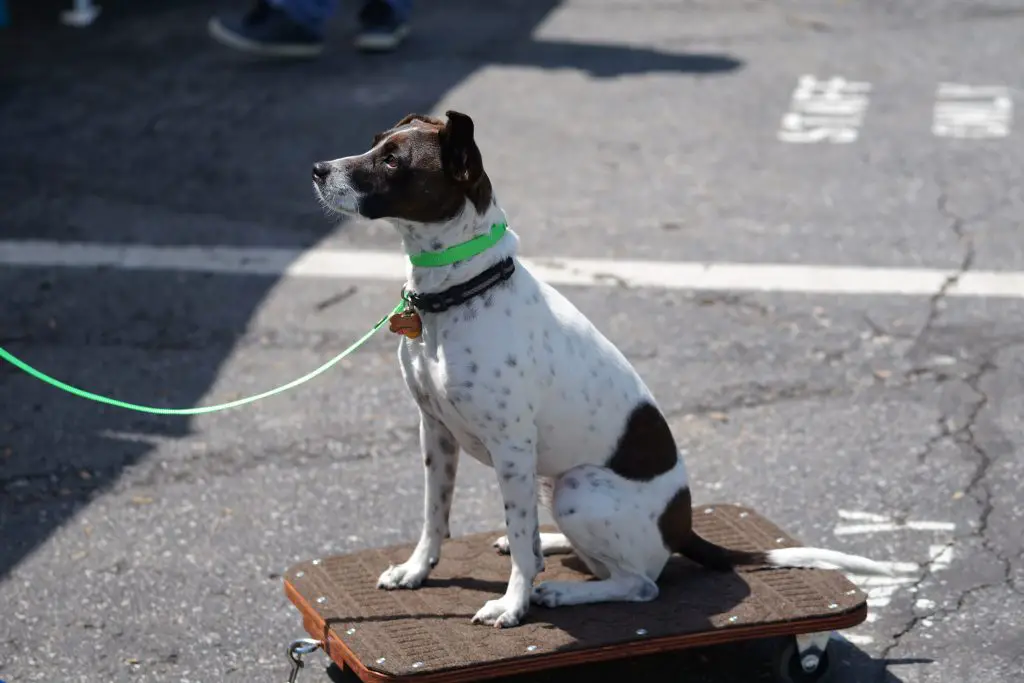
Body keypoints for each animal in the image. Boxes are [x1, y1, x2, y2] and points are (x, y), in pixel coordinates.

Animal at [309, 112, 888, 630]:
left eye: (392, 160)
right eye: (376, 140)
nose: (317, 169)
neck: (461, 293)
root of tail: (681, 531)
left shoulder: (510, 448)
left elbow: (517, 539)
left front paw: (513, 605)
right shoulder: (435, 432)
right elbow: (436, 516)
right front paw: (417, 570)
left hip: (577, 488)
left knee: (639, 583)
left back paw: (562, 590)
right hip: (551, 480)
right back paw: (552, 545)